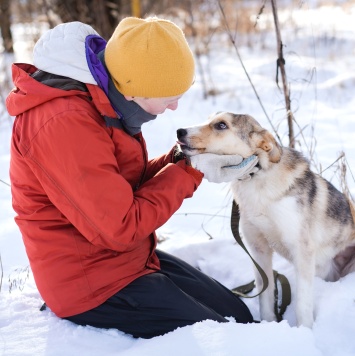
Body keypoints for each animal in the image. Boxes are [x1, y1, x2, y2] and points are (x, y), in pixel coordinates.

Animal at [177, 112, 355, 326]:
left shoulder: (302, 250)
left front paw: (304, 330)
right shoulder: (257, 248)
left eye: (221, 125)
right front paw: (269, 324)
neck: (256, 177)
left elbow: (303, 304)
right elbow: (265, 295)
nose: (180, 131)